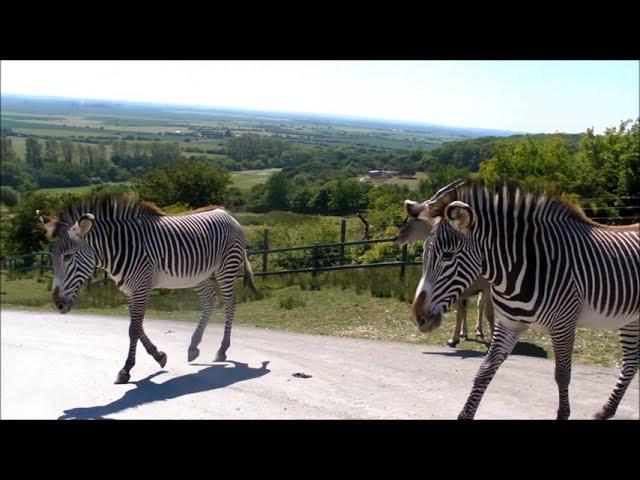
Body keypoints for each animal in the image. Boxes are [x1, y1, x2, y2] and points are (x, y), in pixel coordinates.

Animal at [36, 193, 258, 384]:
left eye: (67, 257)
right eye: (52, 258)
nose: (57, 304)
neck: (120, 248)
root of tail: (225, 212)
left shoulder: (141, 287)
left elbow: (133, 329)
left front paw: (126, 369)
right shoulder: (129, 291)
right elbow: (137, 327)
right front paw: (159, 356)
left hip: (226, 267)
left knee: (229, 304)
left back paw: (222, 349)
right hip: (200, 275)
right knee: (210, 301)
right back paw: (194, 346)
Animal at [396, 205, 496, 344]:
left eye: (412, 221)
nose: (396, 237)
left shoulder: (487, 287)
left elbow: (489, 312)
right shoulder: (458, 289)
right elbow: (460, 312)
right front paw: (454, 338)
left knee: (480, 305)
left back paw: (479, 331)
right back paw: (464, 333)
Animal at [410, 180, 640, 420]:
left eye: (448, 256)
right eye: (424, 253)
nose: (418, 316)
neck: (521, 269)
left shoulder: (564, 325)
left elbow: (562, 374)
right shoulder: (508, 324)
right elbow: (485, 370)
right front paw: (465, 414)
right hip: (631, 319)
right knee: (630, 364)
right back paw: (606, 411)